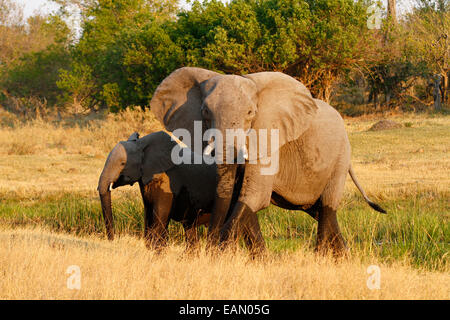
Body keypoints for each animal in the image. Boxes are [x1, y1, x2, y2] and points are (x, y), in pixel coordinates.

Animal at [149, 67, 384, 255]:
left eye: (250, 112)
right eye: (205, 112)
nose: (209, 243)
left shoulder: (269, 137)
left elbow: (254, 196)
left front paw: (219, 254)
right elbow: (239, 197)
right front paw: (258, 259)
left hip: (340, 158)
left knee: (327, 208)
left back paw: (323, 258)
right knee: (322, 212)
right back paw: (343, 257)